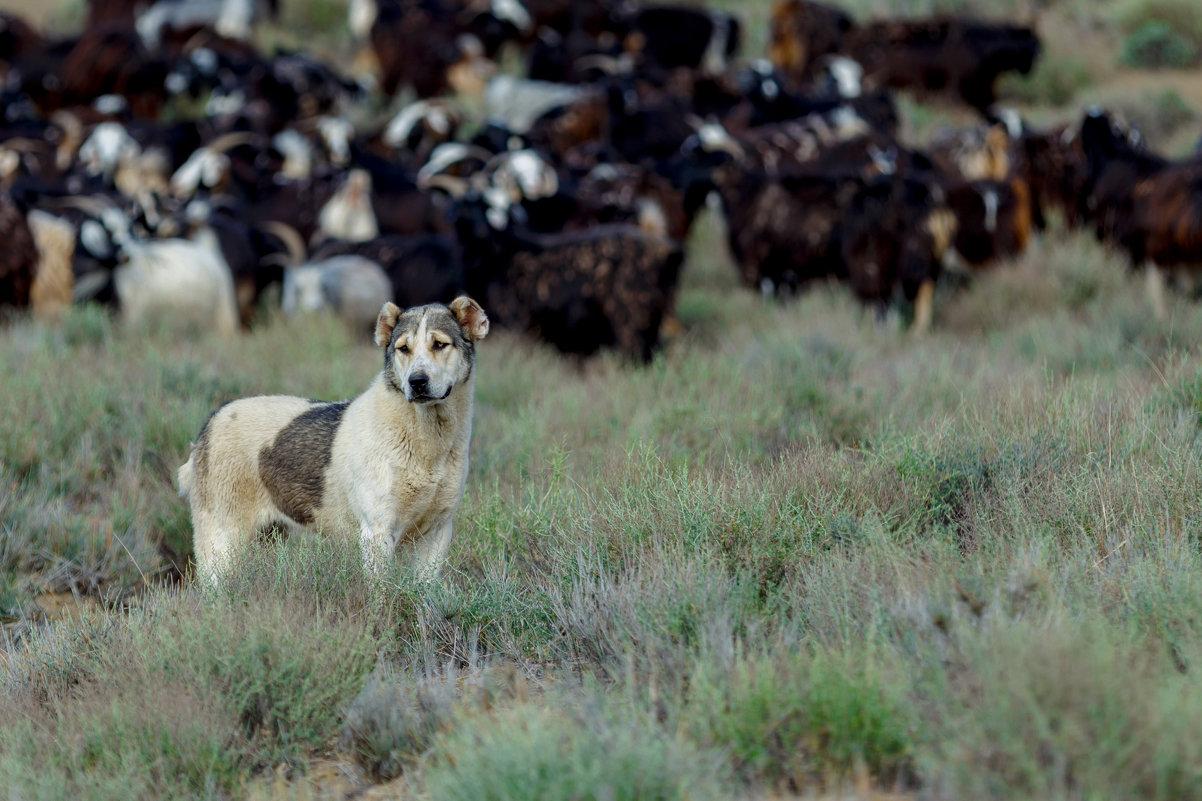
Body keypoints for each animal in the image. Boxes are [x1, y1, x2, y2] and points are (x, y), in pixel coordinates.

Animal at [175, 295, 492, 584]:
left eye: (440, 344)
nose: (416, 382)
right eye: (403, 349)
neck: (427, 441)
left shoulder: (437, 532)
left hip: (269, 537)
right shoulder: (377, 532)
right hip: (222, 544)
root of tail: (210, 424)